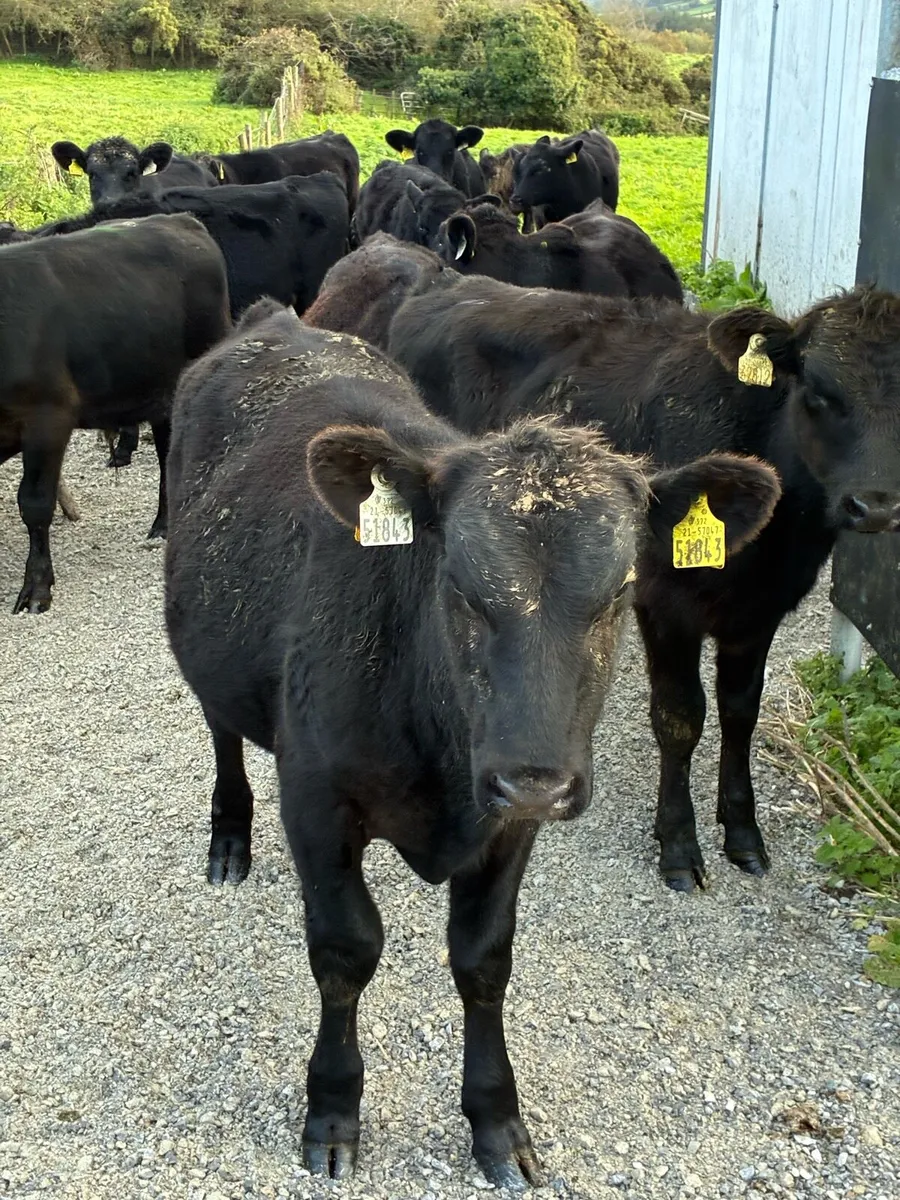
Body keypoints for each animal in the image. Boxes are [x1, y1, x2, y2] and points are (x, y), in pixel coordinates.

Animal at [0, 213, 229, 613]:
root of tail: (180, 220)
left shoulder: (48, 417)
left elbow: (35, 503)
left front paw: (37, 586)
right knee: (167, 448)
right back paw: (163, 523)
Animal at [164, 298, 780, 1187]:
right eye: (457, 581)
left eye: (621, 588)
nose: (536, 780)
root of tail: (278, 320)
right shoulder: (316, 798)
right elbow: (346, 948)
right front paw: (332, 1108)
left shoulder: (508, 822)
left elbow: (483, 959)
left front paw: (495, 1119)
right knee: (221, 734)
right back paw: (229, 838)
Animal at [387, 277, 900, 892]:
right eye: (818, 392)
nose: (876, 505)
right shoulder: (666, 605)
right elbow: (680, 718)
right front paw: (678, 842)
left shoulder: (759, 613)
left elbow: (740, 713)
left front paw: (742, 832)